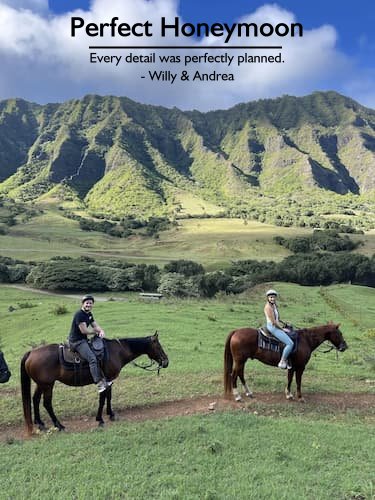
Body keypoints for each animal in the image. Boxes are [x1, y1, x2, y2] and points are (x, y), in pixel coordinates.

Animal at [19, 334, 169, 436]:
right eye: (158, 346)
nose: (166, 361)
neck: (117, 351)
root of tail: (31, 353)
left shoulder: (109, 379)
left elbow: (108, 396)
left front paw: (110, 414)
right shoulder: (105, 379)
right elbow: (103, 398)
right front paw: (100, 419)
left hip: (41, 384)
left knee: (35, 399)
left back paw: (40, 423)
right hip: (48, 385)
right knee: (47, 403)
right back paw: (59, 425)